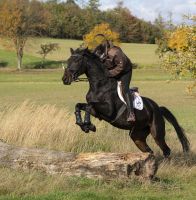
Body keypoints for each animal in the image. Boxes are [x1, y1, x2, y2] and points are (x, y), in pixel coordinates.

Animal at [61, 47, 190, 157]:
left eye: (77, 60)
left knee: (166, 150)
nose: (65, 79)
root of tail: (158, 108)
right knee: (149, 151)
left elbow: (89, 105)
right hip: (137, 135)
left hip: (157, 132)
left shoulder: (109, 110)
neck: (99, 85)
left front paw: (88, 125)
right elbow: (79, 105)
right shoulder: (97, 112)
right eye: (68, 60)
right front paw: (83, 124)